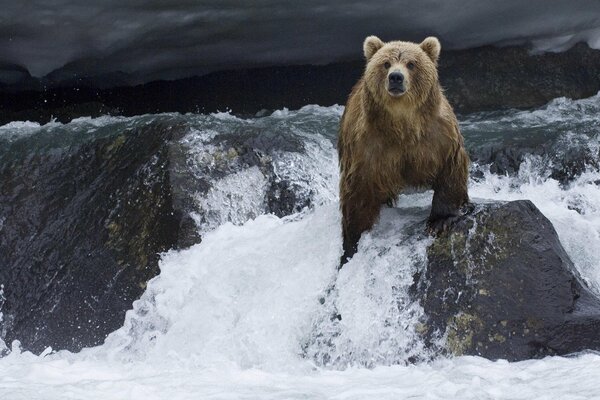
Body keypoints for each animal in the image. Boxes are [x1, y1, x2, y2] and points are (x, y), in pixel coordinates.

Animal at [338, 35, 468, 266]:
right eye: (386, 63)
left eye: (411, 64)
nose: (396, 77)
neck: (402, 124)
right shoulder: (367, 147)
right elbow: (357, 191)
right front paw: (352, 242)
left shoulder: (438, 136)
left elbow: (450, 170)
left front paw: (440, 221)